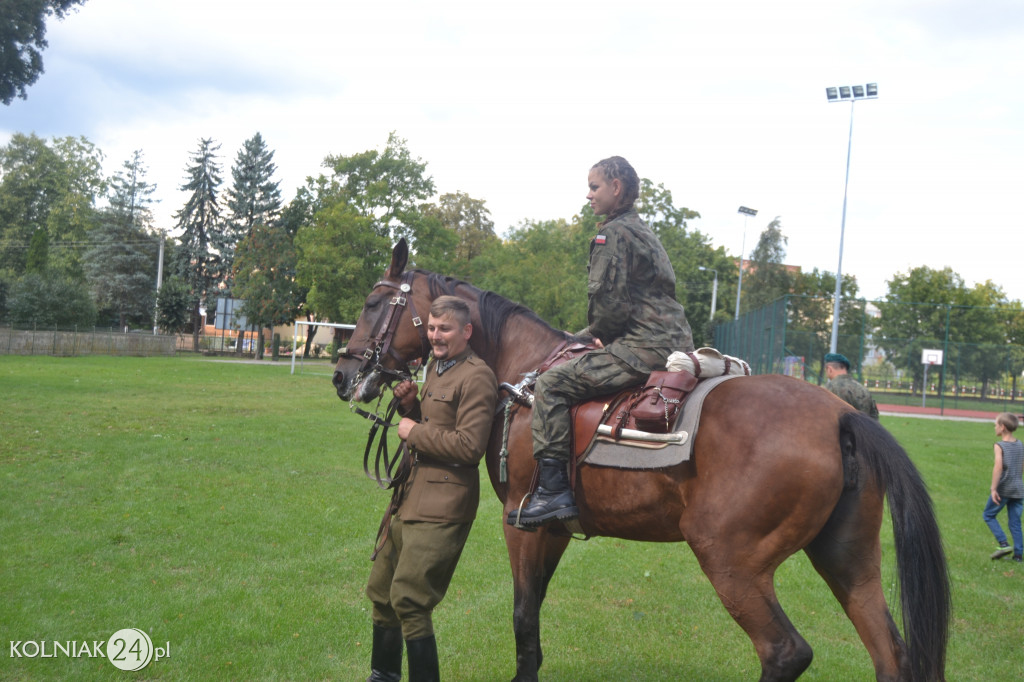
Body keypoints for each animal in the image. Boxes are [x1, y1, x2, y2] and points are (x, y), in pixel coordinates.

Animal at [333, 240, 950, 679]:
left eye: (371, 303)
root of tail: (840, 415)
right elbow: (533, 619)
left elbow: (522, 618)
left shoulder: (521, 524)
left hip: (729, 558)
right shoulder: (553, 530)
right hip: (848, 560)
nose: (343, 373)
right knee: (891, 655)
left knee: (785, 651)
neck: (526, 377)